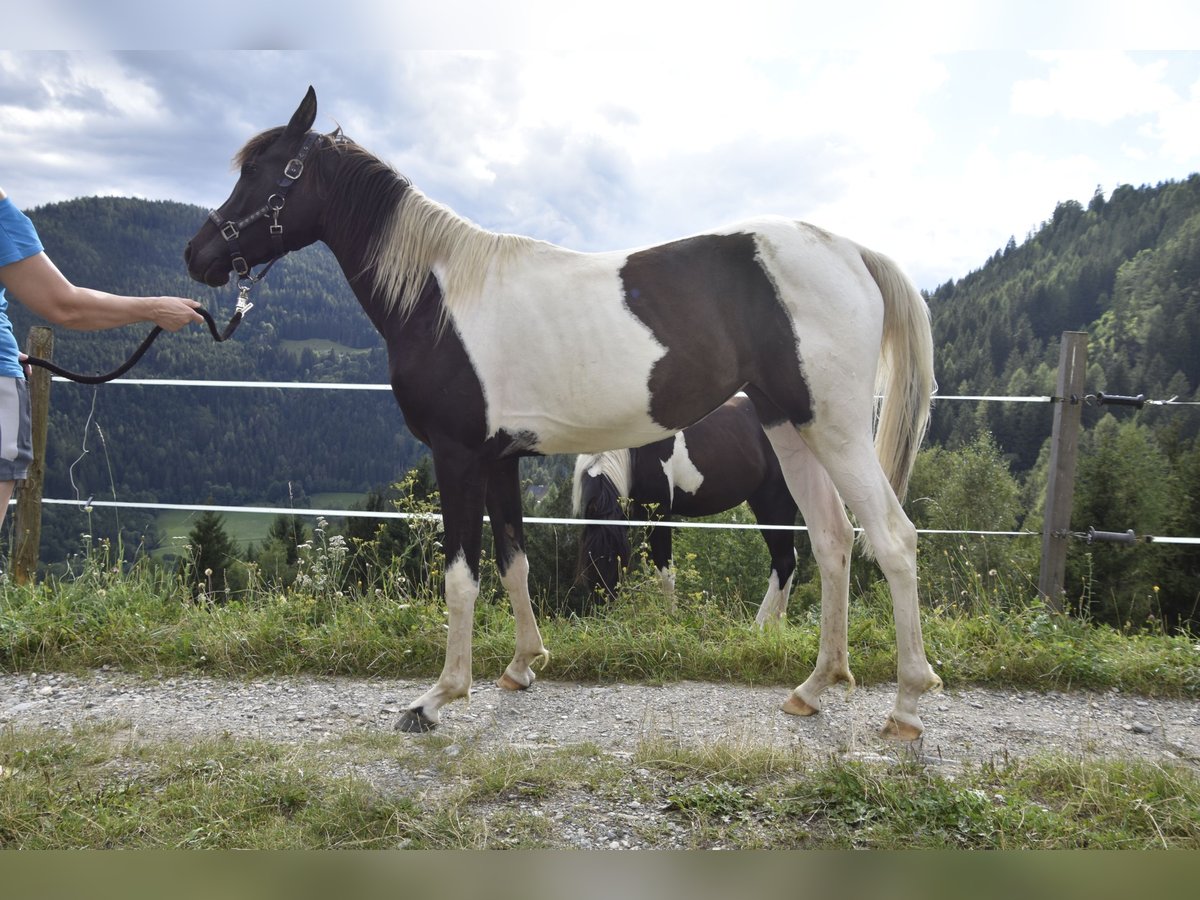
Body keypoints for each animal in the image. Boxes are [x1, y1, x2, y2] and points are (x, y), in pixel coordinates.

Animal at [576, 393, 801, 628]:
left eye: (614, 557)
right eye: (588, 558)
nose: (603, 610)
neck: (635, 452)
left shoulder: (660, 514)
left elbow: (665, 573)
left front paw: (671, 620)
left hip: (774, 502)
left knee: (784, 562)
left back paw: (756, 628)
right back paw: (777, 627)